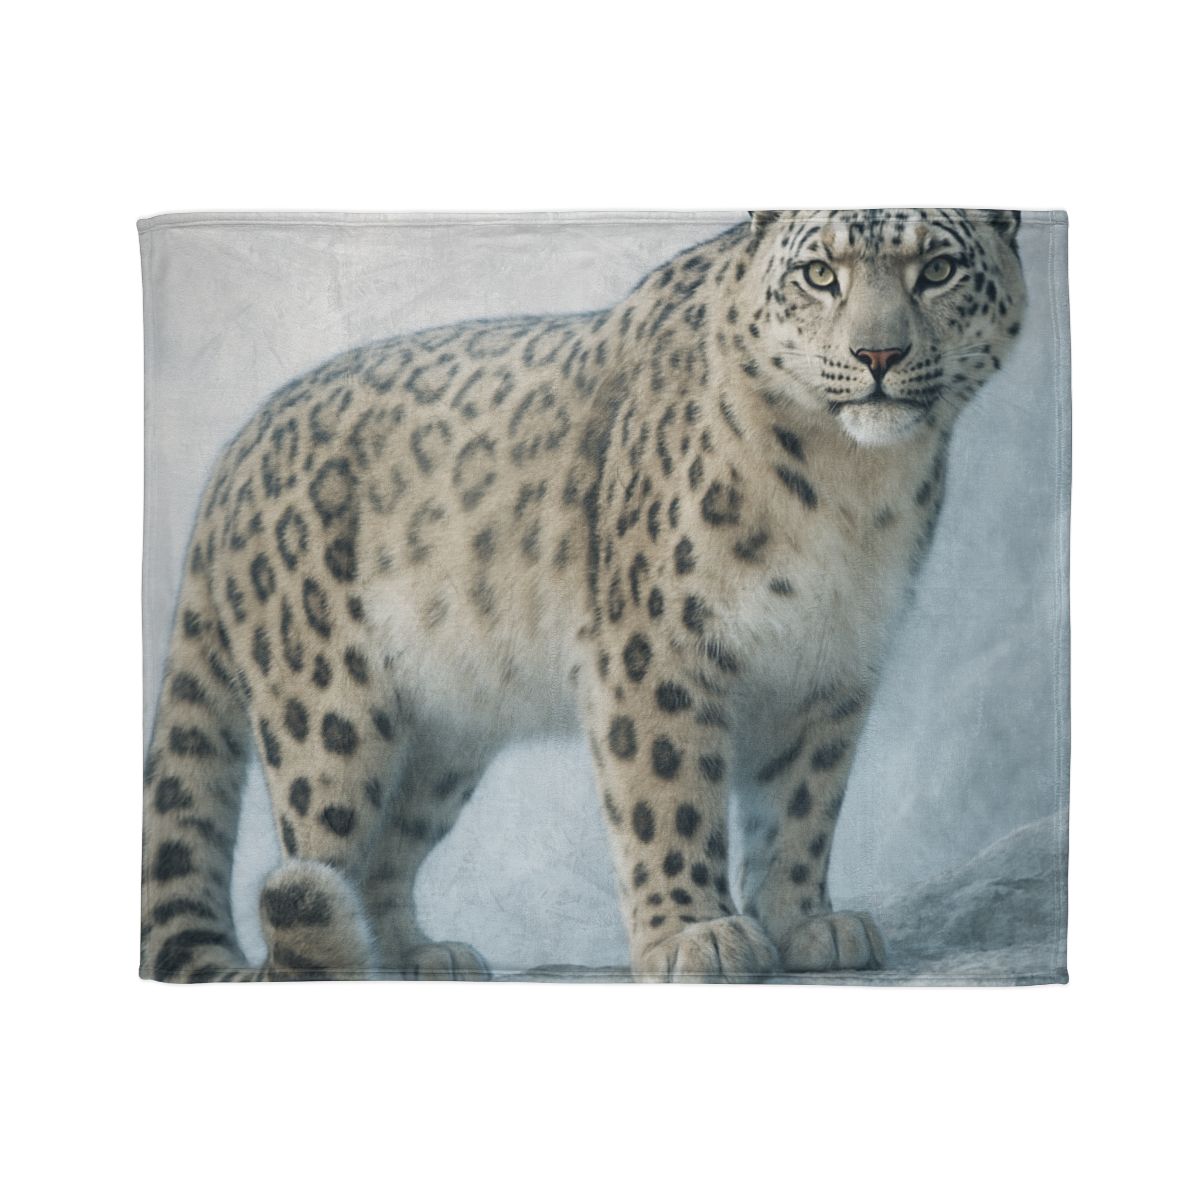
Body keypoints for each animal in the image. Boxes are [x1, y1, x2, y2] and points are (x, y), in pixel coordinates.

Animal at [141, 208, 1027, 982]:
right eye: (819, 274)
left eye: (937, 269)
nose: (879, 354)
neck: (854, 489)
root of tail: (236, 451)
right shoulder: (655, 643)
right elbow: (670, 792)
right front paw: (696, 934)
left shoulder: (834, 663)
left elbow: (803, 805)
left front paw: (808, 923)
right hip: (328, 714)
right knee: (322, 850)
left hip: (444, 737)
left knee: (389, 846)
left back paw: (421, 955)